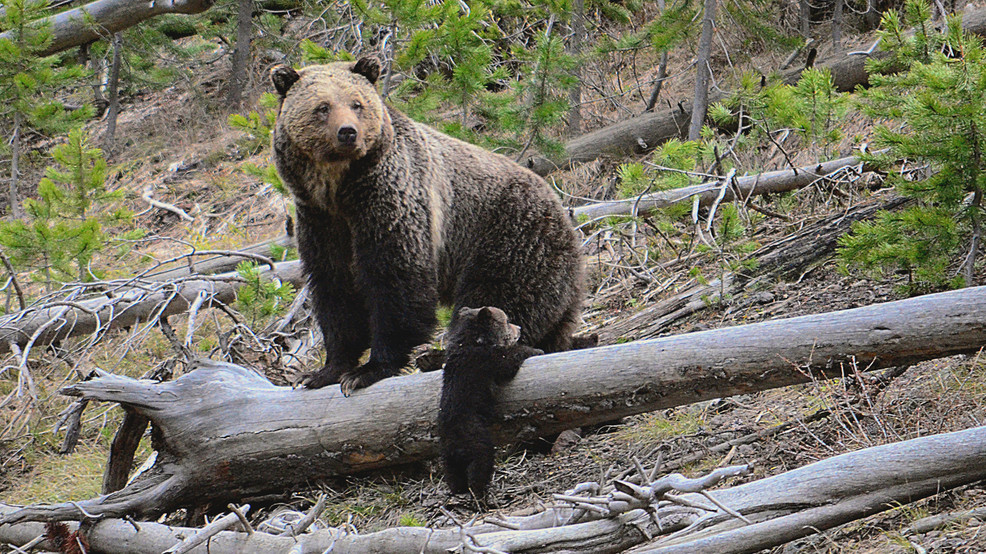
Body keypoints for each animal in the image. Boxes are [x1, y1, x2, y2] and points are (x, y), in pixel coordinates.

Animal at [270, 57, 585, 395]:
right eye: (323, 107)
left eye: (356, 103)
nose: (348, 133)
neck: (338, 188)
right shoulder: (320, 220)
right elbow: (335, 288)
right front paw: (323, 371)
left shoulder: (391, 199)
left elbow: (396, 279)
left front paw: (369, 369)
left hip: (511, 236)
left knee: (498, 298)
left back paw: (441, 355)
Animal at [438, 306, 542, 497]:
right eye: (507, 320)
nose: (519, 328)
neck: (474, 341)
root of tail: (454, 443)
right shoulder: (486, 361)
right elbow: (508, 362)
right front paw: (535, 350)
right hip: (475, 438)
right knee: (481, 464)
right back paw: (481, 493)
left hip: (447, 454)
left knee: (452, 473)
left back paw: (457, 489)